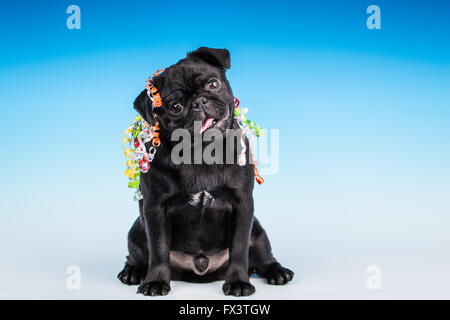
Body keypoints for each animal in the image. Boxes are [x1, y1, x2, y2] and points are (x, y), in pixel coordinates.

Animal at [117, 46, 292, 296]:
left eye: (212, 84)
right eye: (176, 107)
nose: (199, 101)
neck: (201, 153)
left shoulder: (242, 205)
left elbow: (239, 248)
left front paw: (238, 281)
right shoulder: (155, 209)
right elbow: (158, 249)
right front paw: (156, 281)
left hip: (258, 232)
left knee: (262, 256)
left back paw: (277, 271)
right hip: (137, 230)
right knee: (139, 253)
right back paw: (132, 271)